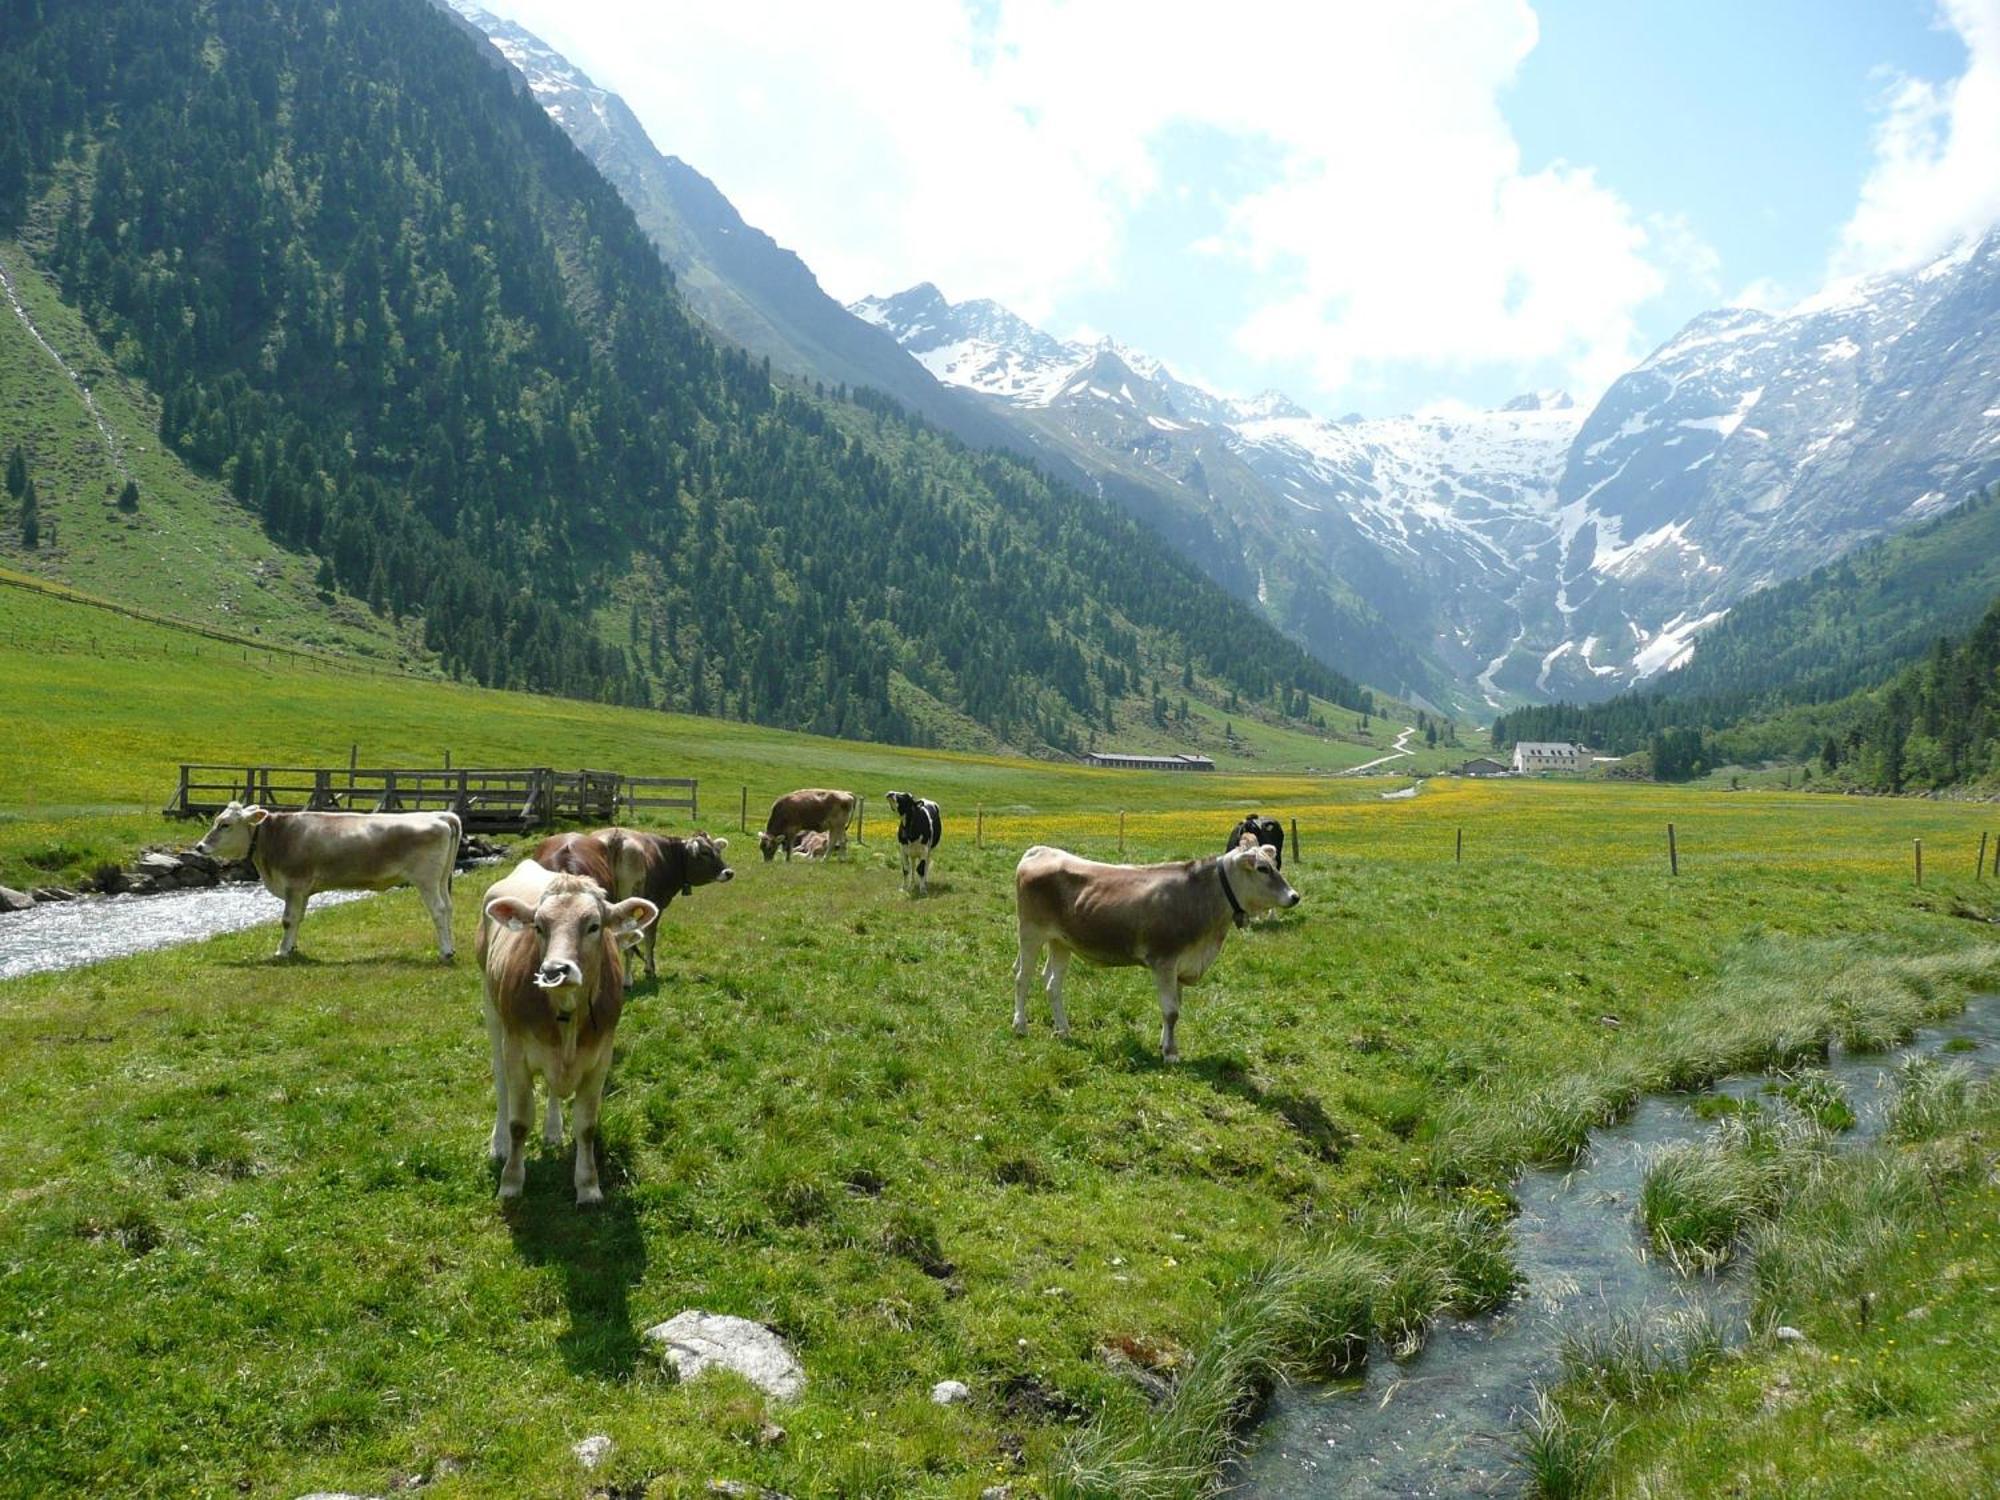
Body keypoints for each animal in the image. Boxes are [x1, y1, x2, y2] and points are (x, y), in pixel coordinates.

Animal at [192, 800, 460, 964]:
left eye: (225, 824)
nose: (199, 847)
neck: (276, 837)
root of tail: (440, 815)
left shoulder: (294, 884)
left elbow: (287, 920)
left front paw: (281, 951)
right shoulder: (302, 890)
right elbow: (298, 919)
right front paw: (292, 948)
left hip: (426, 880)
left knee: (438, 910)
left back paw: (445, 952)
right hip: (441, 879)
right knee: (448, 908)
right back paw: (451, 947)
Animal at [476, 864, 656, 1208]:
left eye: (594, 926)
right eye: (538, 926)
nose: (554, 971)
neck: (567, 1015)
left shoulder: (600, 1059)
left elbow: (586, 1126)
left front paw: (588, 1185)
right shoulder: (516, 1053)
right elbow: (519, 1123)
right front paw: (511, 1182)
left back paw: (552, 1130)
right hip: (493, 1013)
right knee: (501, 1083)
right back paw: (499, 1144)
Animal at [1016, 840, 1296, 1064]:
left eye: (1275, 864)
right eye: (1262, 868)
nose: (1295, 896)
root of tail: (1041, 850)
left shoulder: (1181, 965)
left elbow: (1175, 1008)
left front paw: (1165, 1044)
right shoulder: (1164, 961)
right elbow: (1171, 1011)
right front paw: (1170, 1054)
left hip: (1060, 942)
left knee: (1052, 984)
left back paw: (1063, 1030)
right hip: (1030, 932)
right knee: (1022, 978)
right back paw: (1020, 1026)